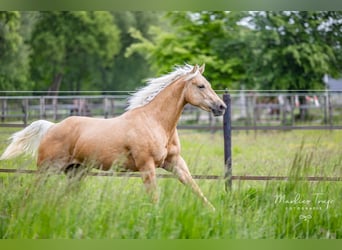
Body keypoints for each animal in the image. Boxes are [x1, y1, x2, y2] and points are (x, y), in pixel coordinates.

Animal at [1, 64, 226, 211]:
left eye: (208, 84)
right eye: (201, 86)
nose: (221, 107)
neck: (156, 122)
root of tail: (52, 127)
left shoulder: (175, 163)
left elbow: (196, 189)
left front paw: (214, 214)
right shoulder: (147, 165)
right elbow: (154, 197)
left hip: (76, 172)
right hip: (47, 170)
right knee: (31, 193)